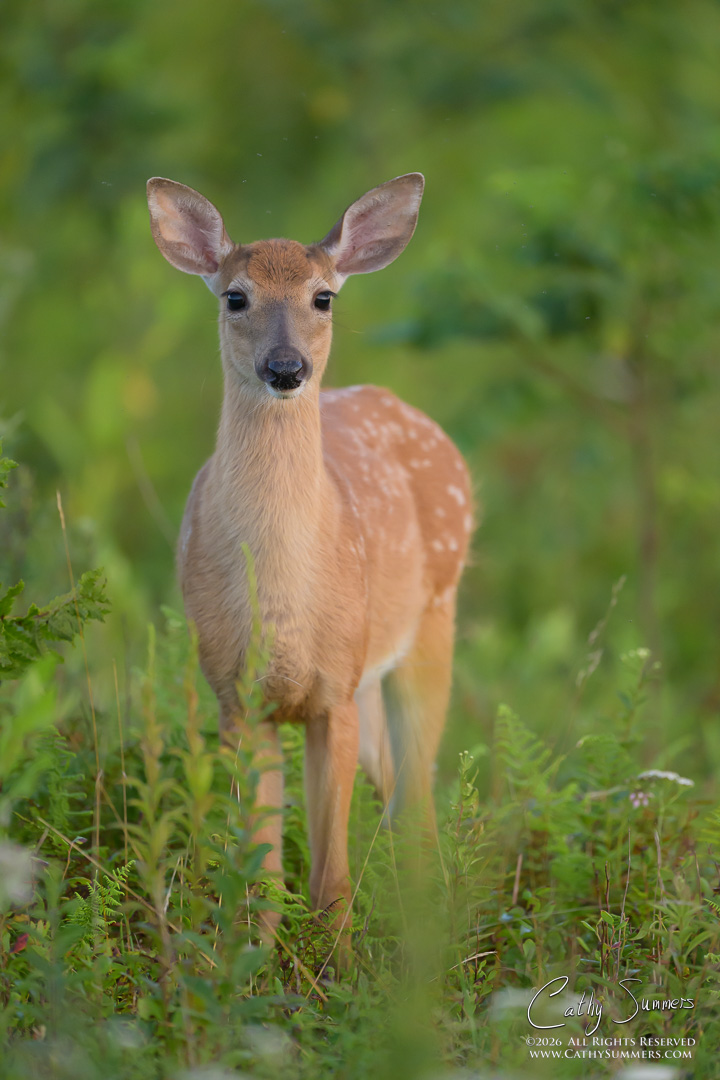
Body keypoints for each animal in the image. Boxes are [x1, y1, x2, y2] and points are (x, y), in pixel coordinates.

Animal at [146, 172, 472, 956]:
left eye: (323, 297)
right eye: (236, 297)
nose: (286, 368)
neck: (283, 601)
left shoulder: (334, 691)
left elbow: (331, 879)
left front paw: (338, 966)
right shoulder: (238, 696)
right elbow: (260, 875)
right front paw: (253, 965)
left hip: (431, 623)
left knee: (417, 800)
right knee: (400, 790)